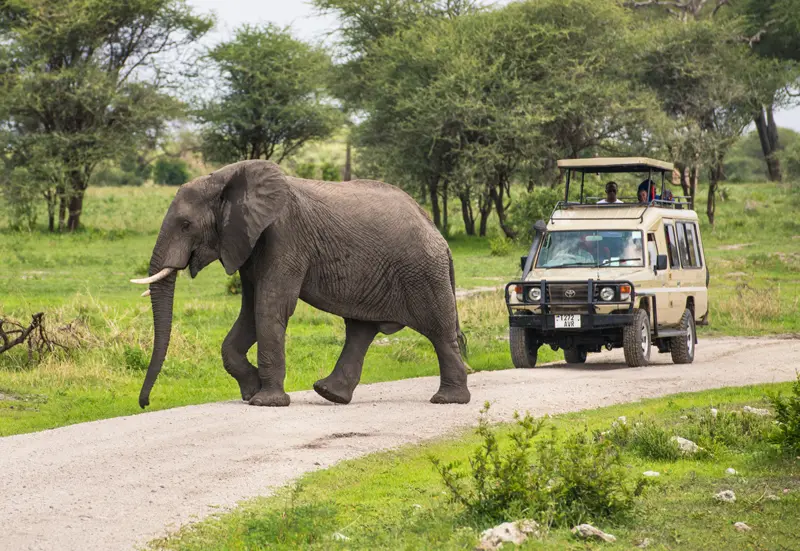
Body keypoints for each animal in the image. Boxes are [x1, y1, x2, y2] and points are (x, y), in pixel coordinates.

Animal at [130, 160, 468, 410]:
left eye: (186, 225)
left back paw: (448, 400)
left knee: (439, 331)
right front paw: (250, 392)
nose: (145, 404)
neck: (224, 179)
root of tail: (438, 234)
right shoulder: (249, 243)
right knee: (360, 330)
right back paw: (330, 394)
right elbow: (250, 312)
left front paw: (265, 403)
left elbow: (269, 308)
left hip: (423, 272)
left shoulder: (285, 236)